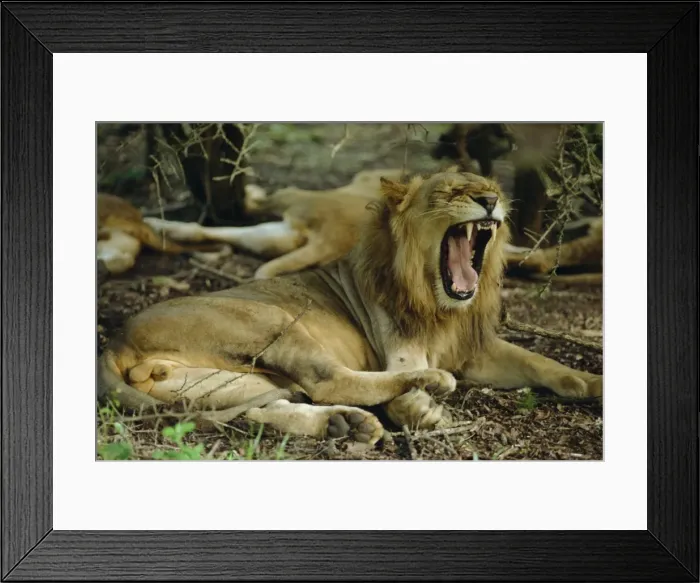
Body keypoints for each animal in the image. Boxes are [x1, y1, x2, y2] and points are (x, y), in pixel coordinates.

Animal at [98, 170, 602, 447]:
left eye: (491, 188)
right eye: (451, 192)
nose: (492, 201)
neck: (441, 304)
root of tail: (115, 340)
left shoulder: (478, 349)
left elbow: (541, 363)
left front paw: (592, 383)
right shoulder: (401, 351)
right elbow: (395, 384)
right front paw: (422, 407)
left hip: (219, 383)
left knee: (265, 407)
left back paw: (346, 425)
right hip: (273, 321)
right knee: (328, 380)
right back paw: (424, 387)